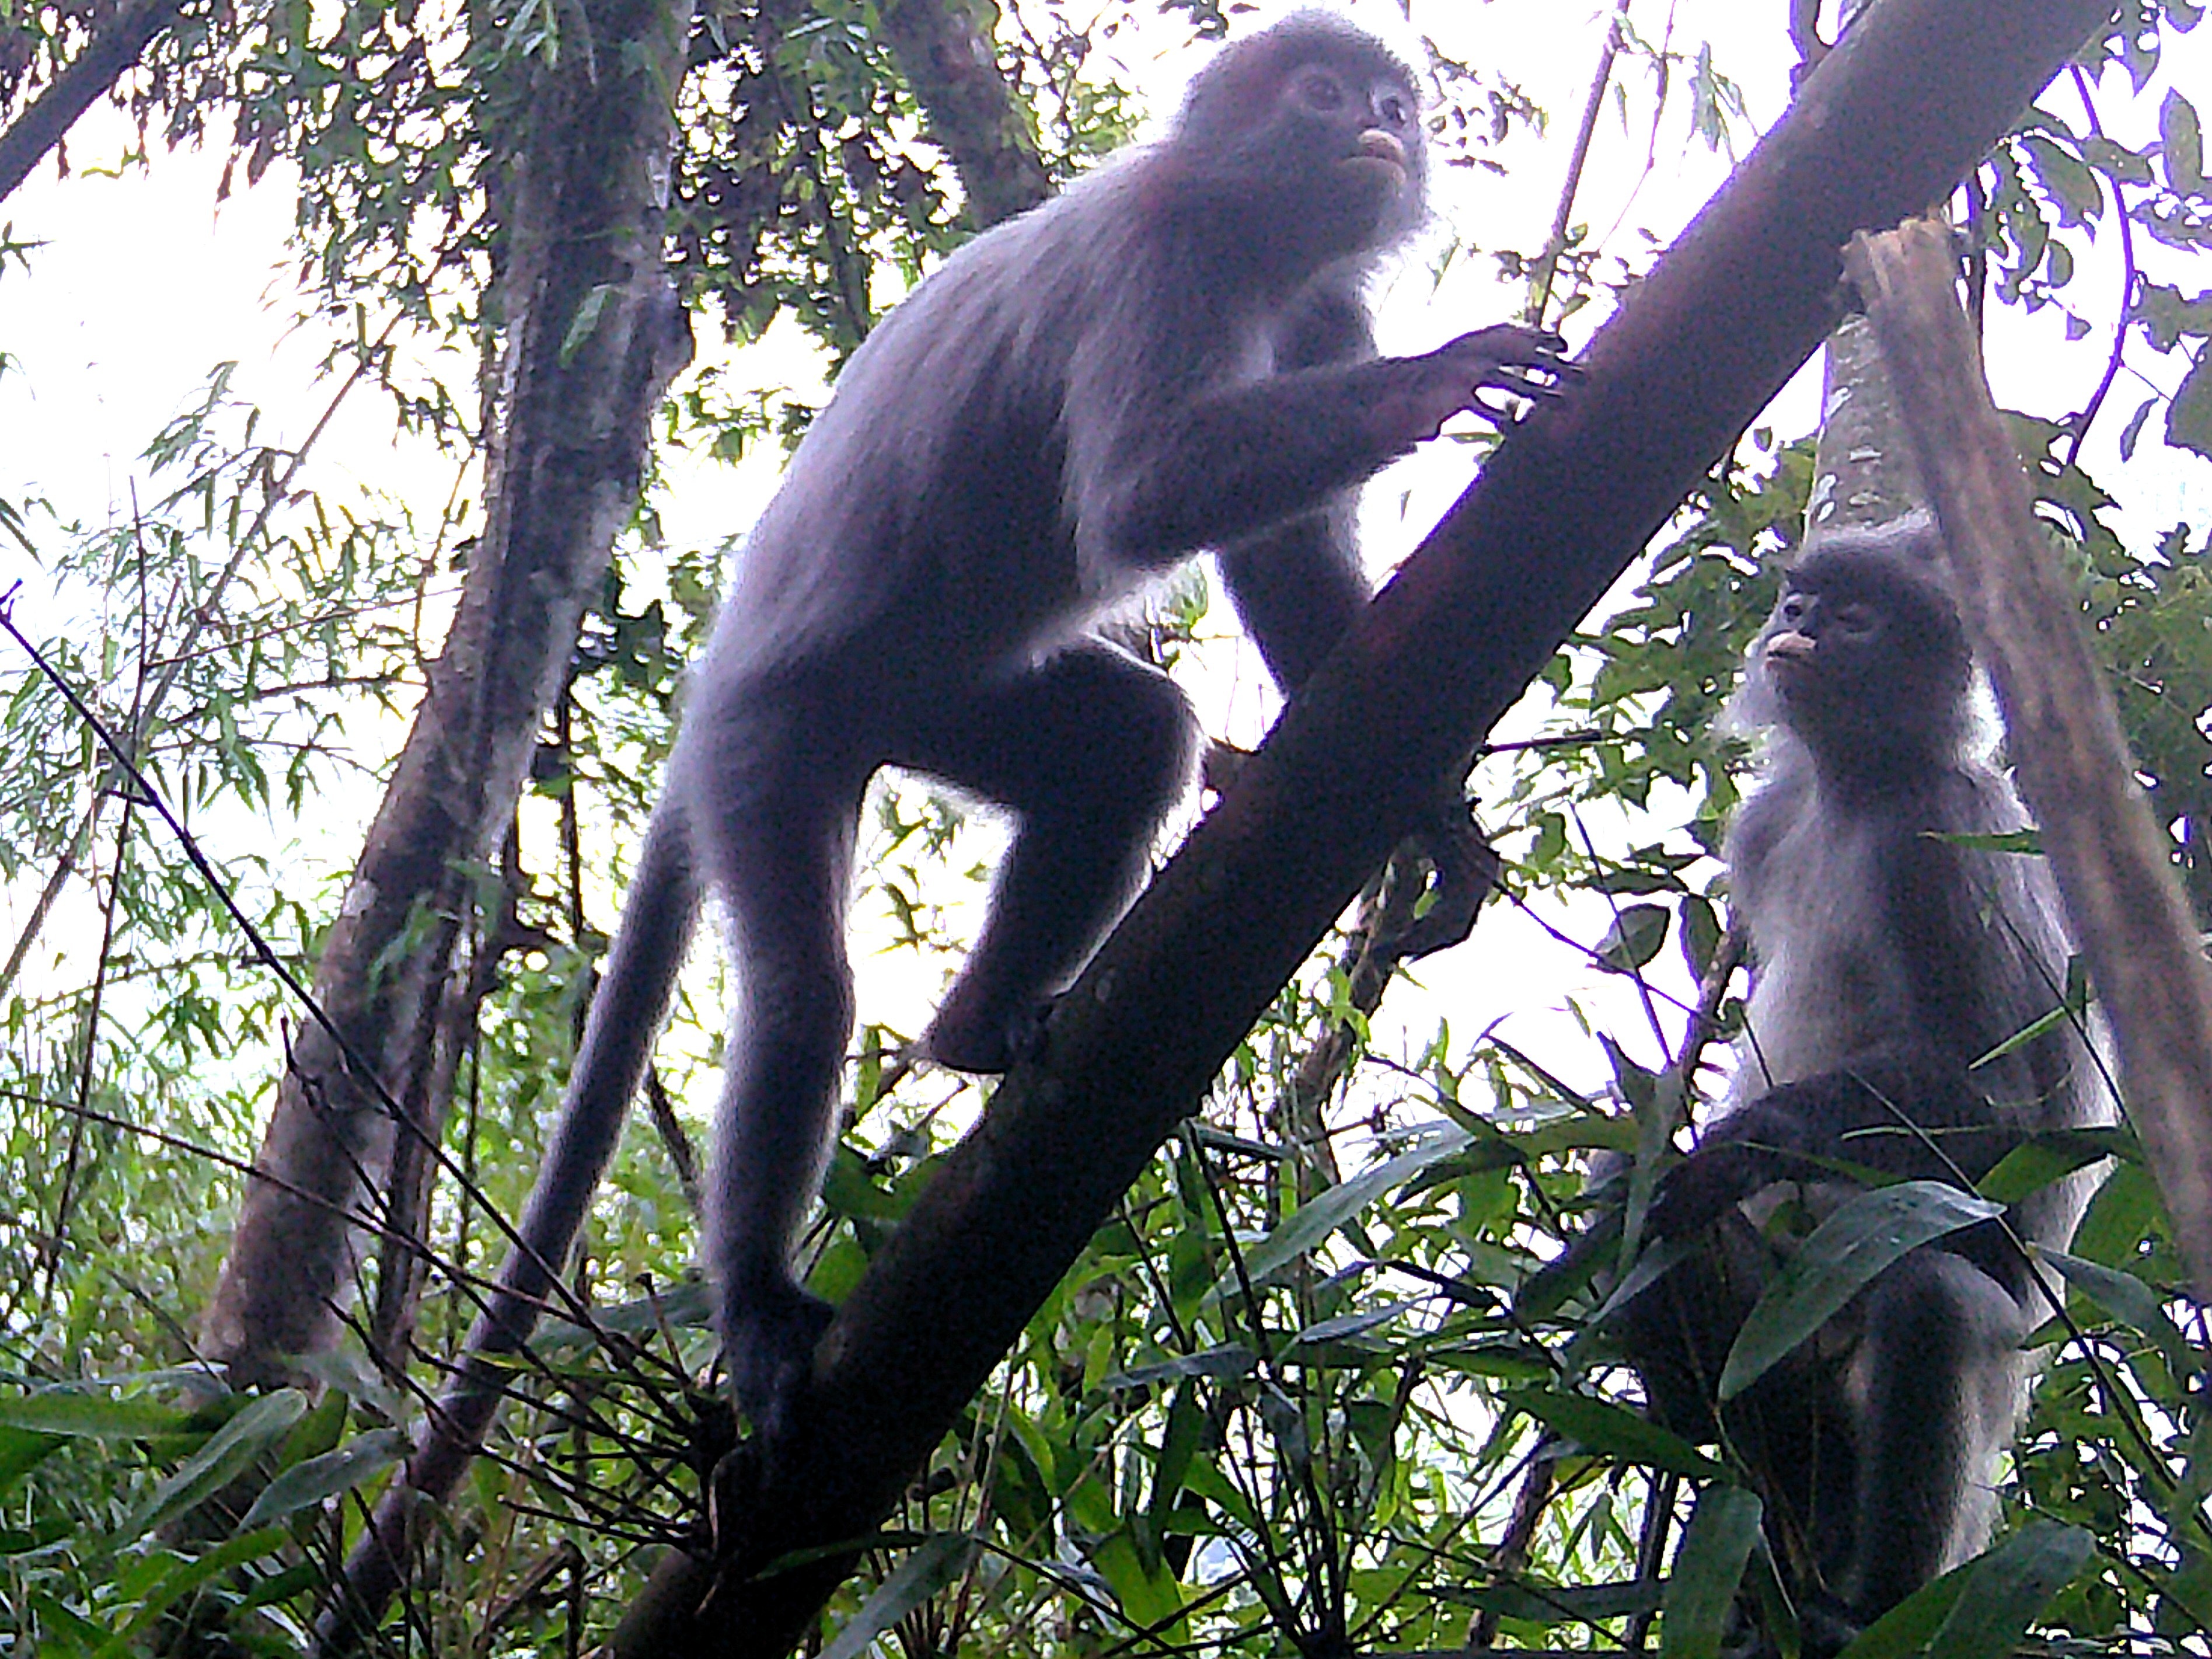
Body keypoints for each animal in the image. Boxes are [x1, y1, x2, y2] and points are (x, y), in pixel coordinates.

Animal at [462, 9, 1575, 1442]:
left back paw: (975, 1026)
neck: (1255, 244)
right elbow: (1143, 493)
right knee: (805, 994)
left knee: (1133, 741)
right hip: (766, 738)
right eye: (1324, 93)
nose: (1378, 126)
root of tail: (720, 672)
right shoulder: (1157, 258)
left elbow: (1281, 567)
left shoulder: (1323, 302)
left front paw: (1431, 817)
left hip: (930, 701)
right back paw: (758, 1300)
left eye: (1391, 103)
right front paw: (1429, 382)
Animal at [1619, 517, 2115, 1654]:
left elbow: (2001, 1112)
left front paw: (1750, 1139)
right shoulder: (1764, 826)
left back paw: (1862, 1609)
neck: (1851, 786)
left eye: (1855, 618)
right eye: (1800, 602)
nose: (1797, 627)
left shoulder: (1941, 834)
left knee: (1934, 1296)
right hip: (1775, 1347)